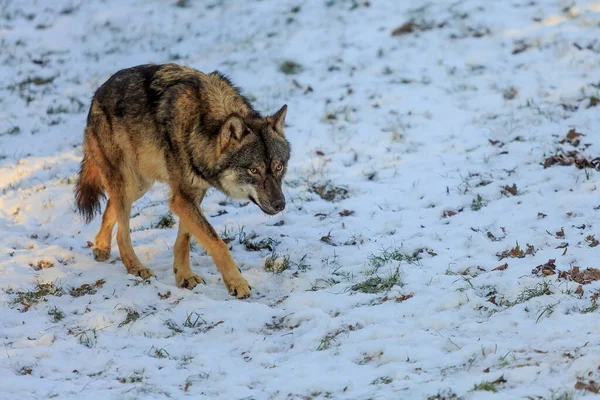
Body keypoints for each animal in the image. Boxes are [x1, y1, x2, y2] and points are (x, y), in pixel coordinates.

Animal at [74, 62, 290, 298]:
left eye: (278, 167)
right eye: (254, 170)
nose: (280, 204)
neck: (202, 123)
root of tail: (97, 93)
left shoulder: (191, 195)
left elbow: (184, 240)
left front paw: (184, 276)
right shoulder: (182, 198)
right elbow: (217, 243)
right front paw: (237, 282)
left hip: (138, 186)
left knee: (109, 207)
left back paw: (101, 247)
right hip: (128, 182)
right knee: (123, 234)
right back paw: (136, 268)